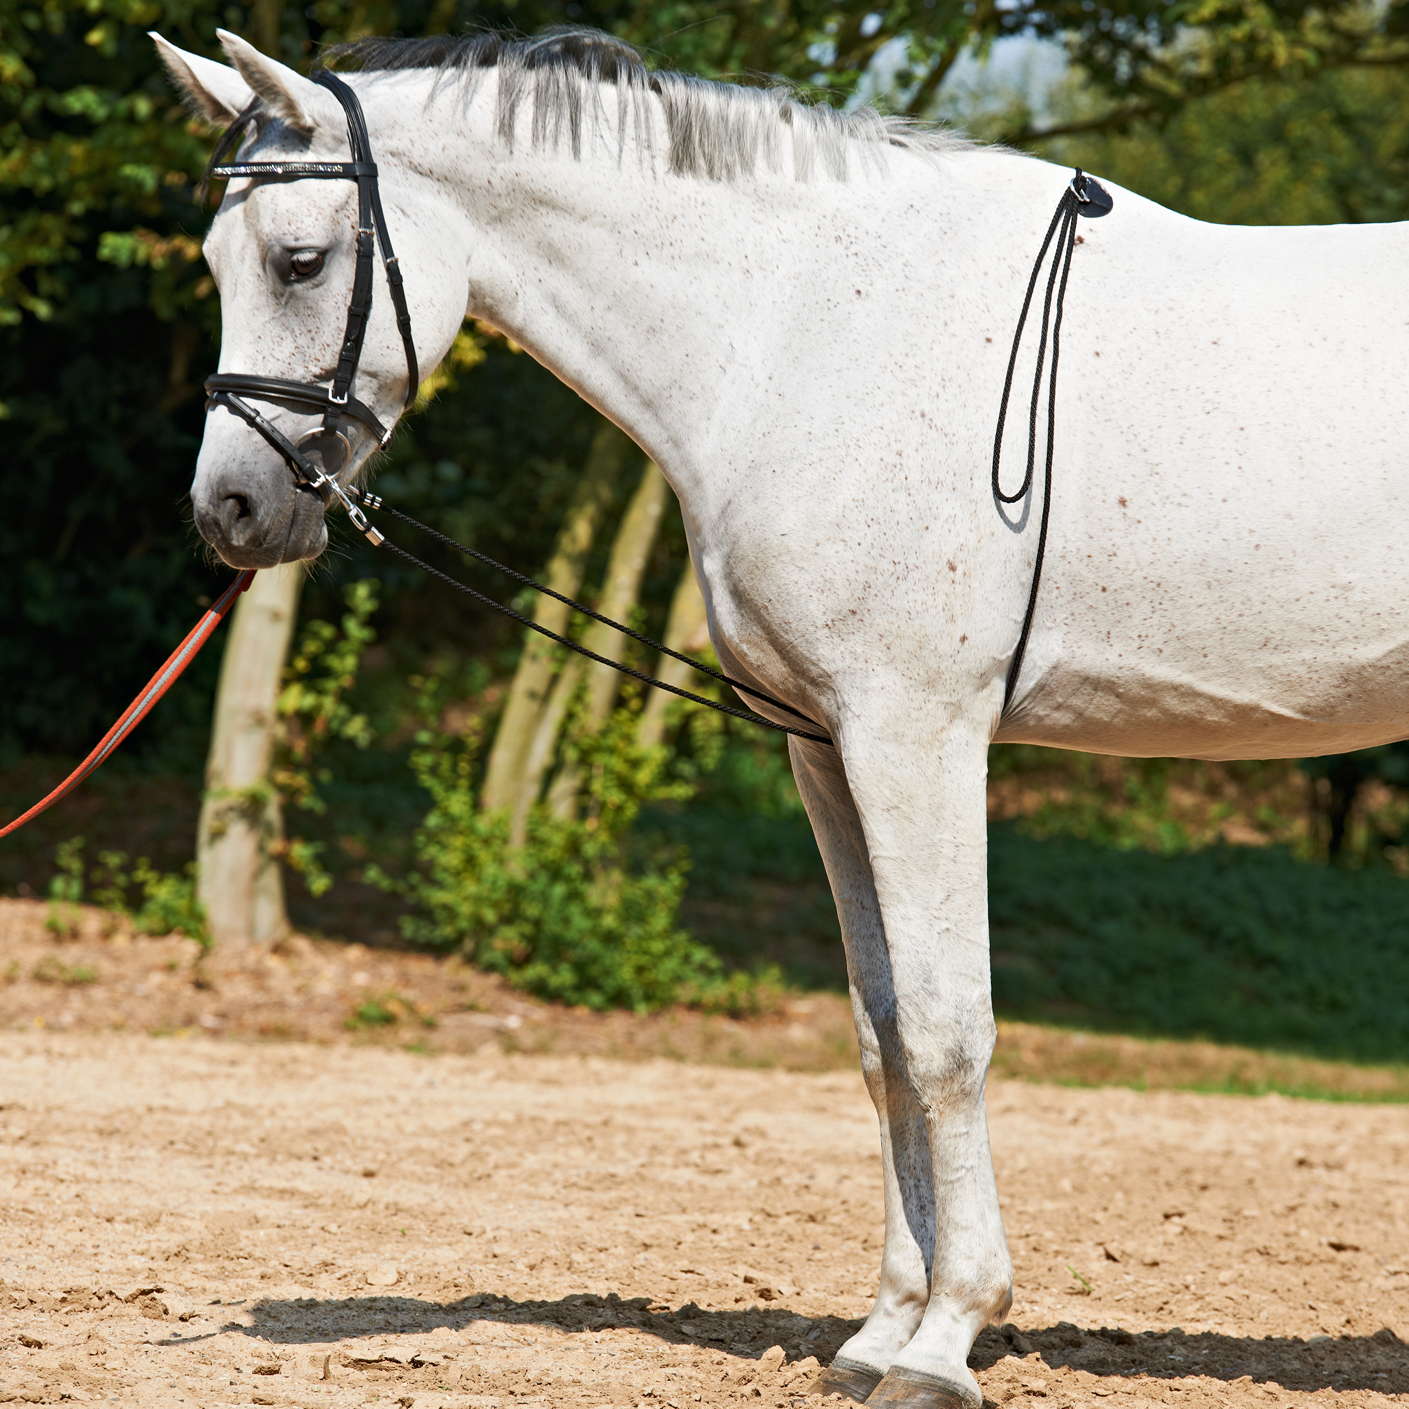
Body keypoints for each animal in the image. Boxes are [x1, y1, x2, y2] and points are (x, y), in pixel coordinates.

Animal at [157, 30, 1409, 1409]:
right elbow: (880, 1034)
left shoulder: (914, 736)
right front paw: (883, 1327)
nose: (229, 509)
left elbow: (946, 1030)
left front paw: (946, 1339)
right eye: (212, 259)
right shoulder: (825, 747)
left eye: (299, 259)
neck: (804, 326)